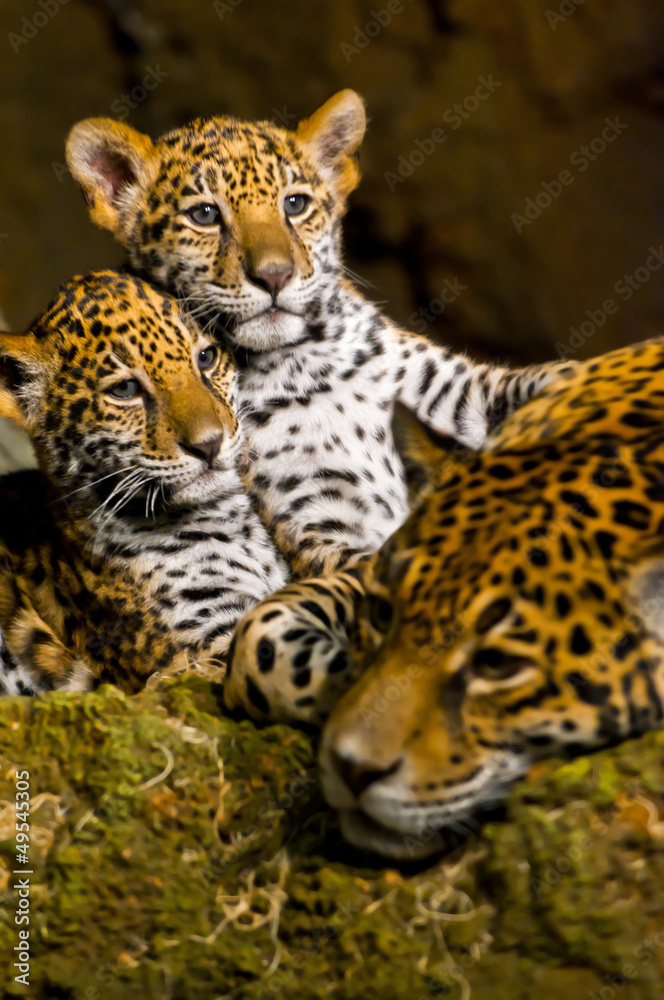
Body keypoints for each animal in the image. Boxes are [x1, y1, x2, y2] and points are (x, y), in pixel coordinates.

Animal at [65, 90, 573, 577]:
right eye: (205, 215)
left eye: (295, 204)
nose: (274, 275)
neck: (306, 361)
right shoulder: (314, 516)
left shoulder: (449, 386)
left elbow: (537, 381)